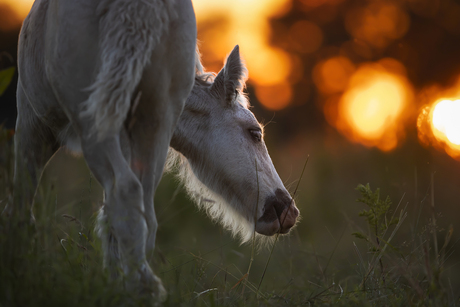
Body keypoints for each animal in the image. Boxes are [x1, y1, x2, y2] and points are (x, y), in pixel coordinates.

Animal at [6, 0, 302, 300]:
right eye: (255, 133)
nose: (286, 210)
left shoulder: (33, 126)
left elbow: (23, 206)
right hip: (153, 121)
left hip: (100, 119)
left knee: (128, 195)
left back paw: (140, 286)